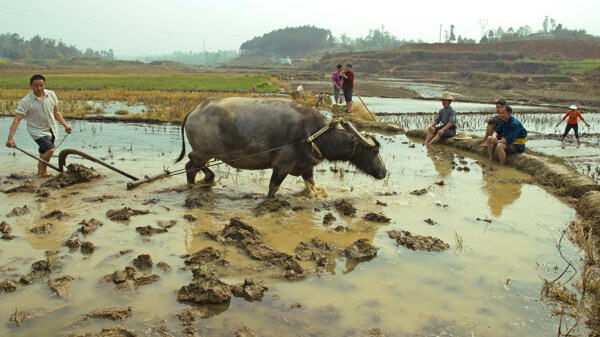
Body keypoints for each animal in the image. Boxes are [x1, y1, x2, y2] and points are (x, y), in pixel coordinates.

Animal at [176, 96, 386, 197]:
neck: (311, 135)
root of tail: (194, 111)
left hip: (206, 153)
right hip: (203, 152)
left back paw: (202, 182)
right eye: (375, 151)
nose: (383, 172)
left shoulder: (306, 168)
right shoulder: (281, 167)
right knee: (191, 163)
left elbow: (311, 185)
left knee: (193, 166)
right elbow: (272, 189)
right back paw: (201, 181)